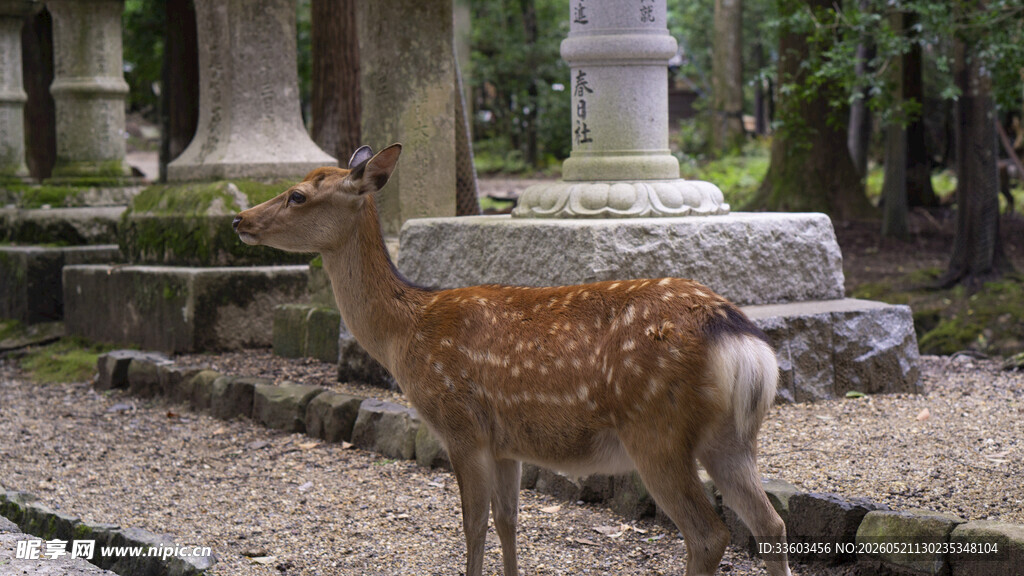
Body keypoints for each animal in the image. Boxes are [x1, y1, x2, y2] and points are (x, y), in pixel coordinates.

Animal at [232, 144, 791, 576]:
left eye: (299, 194)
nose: (239, 219)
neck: (404, 332)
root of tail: (742, 341)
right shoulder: (507, 442)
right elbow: (508, 521)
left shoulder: (461, 425)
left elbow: (472, 525)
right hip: (731, 438)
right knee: (771, 523)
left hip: (656, 429)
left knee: (708, 534)